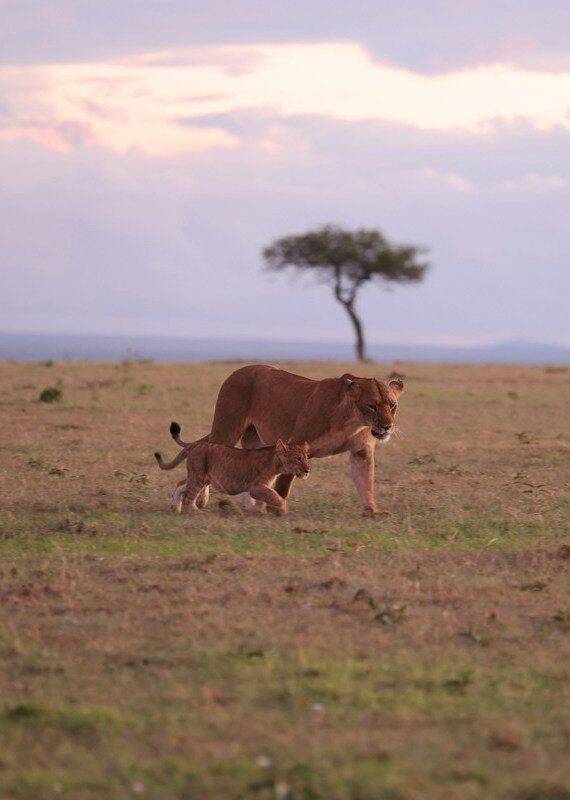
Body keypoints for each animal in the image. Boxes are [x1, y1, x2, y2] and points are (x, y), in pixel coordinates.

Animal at [155, 439, 310, 514]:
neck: (276, 463)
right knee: (188, 496)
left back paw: (175, 507)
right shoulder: (256, 486)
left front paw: (257, 510)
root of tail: (196, 444)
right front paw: (282, 510)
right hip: (199, 476)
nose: (308, 470)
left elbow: (260, 499)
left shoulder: (254, 487)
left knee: (181, 484)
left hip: (200, 477)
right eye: (298, 459)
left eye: (306, 458)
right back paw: (195, 512)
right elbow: (274, 496)